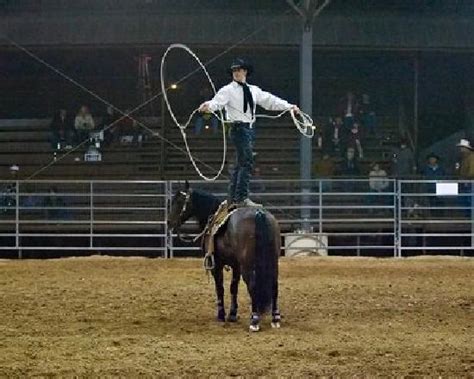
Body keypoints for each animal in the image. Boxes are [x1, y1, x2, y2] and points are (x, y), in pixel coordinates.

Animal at [167, 181, 280, 332]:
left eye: (179, 201)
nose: (169, 222)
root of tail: (259, 213)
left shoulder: (216, 264)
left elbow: (220, 287)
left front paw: (221, 314)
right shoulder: (236, 266)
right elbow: (233, 287)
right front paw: (232, 314)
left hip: (248, 264)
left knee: (252, 284)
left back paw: (254, 320)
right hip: (272, 260)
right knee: (274, 285)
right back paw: (275, 318)